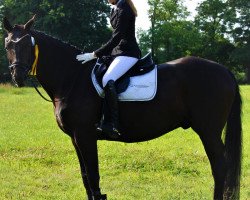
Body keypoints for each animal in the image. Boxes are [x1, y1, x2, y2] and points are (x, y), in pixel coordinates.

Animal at [2, 16, 241, 200]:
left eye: (27, 44)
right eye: (8, 45)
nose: (17, 76)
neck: (72, 77)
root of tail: (224, 71)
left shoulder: (85, 136)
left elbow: (93, 177)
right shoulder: (75, 138)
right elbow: (85, 177)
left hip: (208, 131)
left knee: (220, 167)